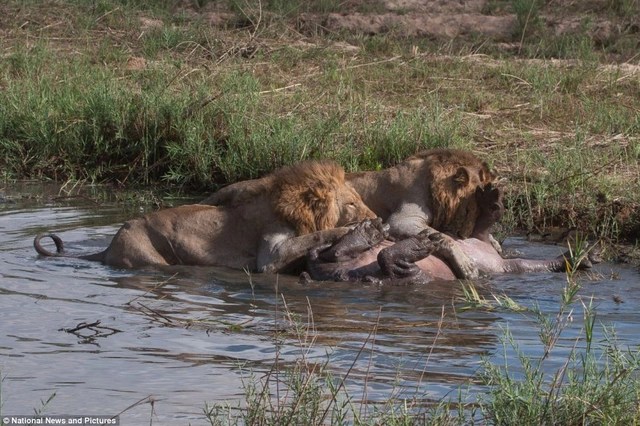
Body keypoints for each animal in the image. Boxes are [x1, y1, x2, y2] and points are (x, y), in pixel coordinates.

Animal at [33, 160, 376, 272]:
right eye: (351, 204)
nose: (377, 219)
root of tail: (108, 246)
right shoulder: (269, 257)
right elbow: (315, 235)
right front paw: (353, 231)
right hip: (146, 256)